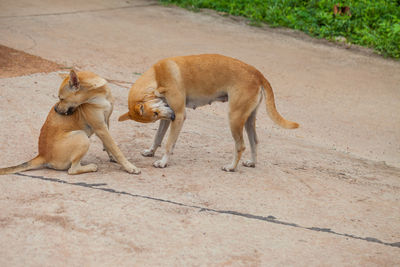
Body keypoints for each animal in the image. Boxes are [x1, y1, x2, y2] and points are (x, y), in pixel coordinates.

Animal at [0, 69, 141, 176]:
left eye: (62, 98)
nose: (55, 109)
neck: (99, 95)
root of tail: (42, 155)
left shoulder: (106, 122)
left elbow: (109, 145)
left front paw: (113, 157)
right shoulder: (100, 128)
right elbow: (116, 149)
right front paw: (129, 167)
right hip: (82, 137)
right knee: (72, 170)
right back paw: (91, 167)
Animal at [117, 54, 298, 172]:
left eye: (155, 113)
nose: (172, 116)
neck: (157, 75)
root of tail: (257, 74)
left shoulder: (179, 115)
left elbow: (168, 143)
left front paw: (163, 162)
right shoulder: (168, 117)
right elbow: (158, 137)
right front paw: (151, 151)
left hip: (234, 118)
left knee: (241, 146)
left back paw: (231, 167)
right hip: (248, 119)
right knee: (254, 141)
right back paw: (252, 163)